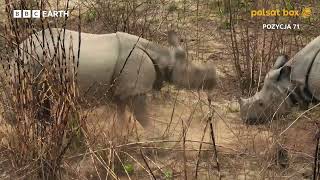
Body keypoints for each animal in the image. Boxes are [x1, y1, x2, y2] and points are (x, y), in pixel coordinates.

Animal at [6, 28, 218, 131]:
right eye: (196, 73)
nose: (214, 82)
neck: (163, 56)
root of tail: (17, 50)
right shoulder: (136, 89)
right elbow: (142, 117)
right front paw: (158, 137)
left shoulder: (123, 90)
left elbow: (121, 113)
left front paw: (120, 135)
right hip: (30, 65)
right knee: (31, 104)